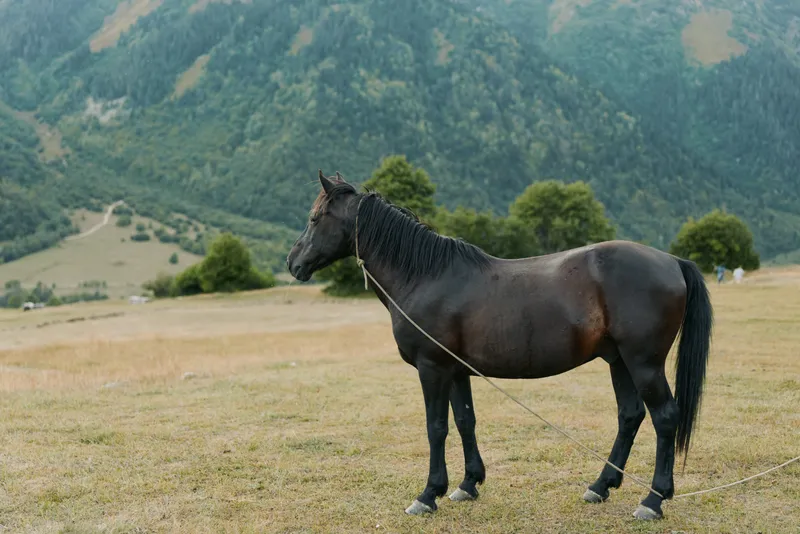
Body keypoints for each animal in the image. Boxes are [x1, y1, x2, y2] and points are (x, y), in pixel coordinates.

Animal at [286, 171, 713, 521]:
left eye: (314, 218)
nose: (292, 263)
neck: (426, 276)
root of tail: (671, 261)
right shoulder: (455, 371)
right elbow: (465, 421)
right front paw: (467, 485)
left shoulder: (432, 368)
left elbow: (436, 427)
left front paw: (428, 494)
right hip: (618, 360)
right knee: (629, 416)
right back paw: (599, 487)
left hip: (644, 363)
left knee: (665, 418)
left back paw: (653, 500)